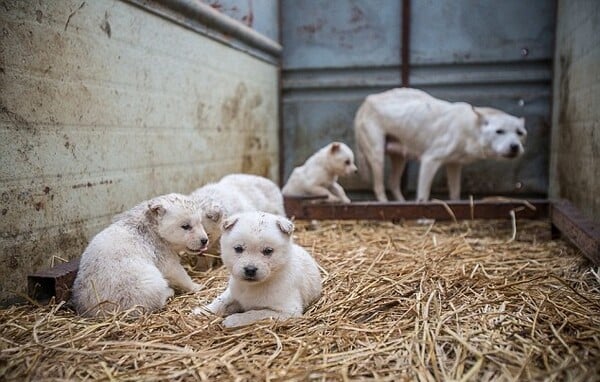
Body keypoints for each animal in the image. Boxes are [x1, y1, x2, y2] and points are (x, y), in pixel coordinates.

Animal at [71, 192, 209, 318]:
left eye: (200, 222)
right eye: (185, 226)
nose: (205, 240)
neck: (153, 229)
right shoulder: (164, 258)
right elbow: (180, 275)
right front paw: (197, 286)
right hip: (147, 284)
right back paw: (169, 292)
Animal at [354, 88, 528, 203]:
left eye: (519, 133)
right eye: (500, 131)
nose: (515, 147)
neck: (469, 129)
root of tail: (366, 102)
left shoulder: (454, 164)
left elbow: (455, 194)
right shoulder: (429, 160)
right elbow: (423, 196)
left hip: (399, 158)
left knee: (393, 183)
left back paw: (402, 204)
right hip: (377, 156)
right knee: (379, 187)